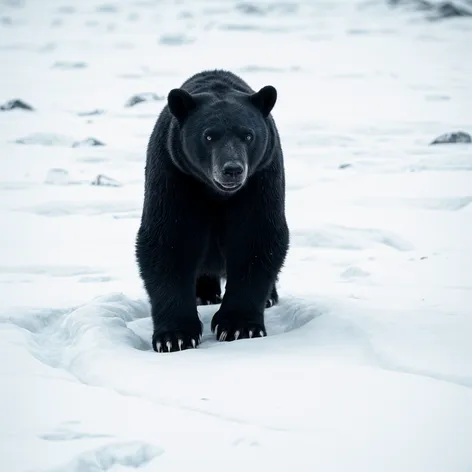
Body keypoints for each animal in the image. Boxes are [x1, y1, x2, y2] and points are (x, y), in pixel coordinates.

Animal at [135, 69, 290, 350]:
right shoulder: (174, 176)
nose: (232, 169)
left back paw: (269, 296)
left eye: (248, 135)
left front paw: (239, 326)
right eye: (208, 136)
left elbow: (257, 238)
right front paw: (175, 336)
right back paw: (204, 293)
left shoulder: (260, 180)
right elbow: (168, 241)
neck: (217, 193)